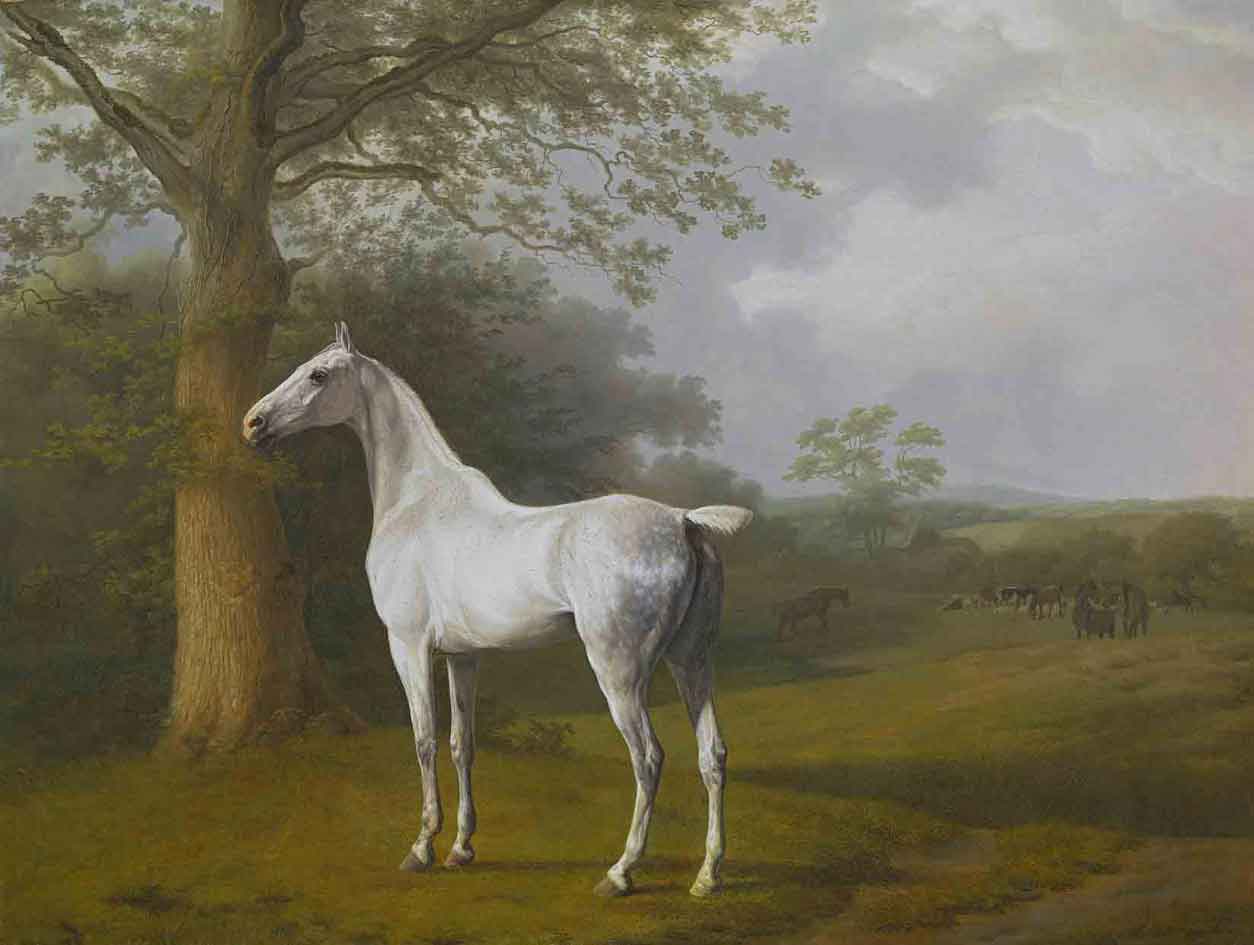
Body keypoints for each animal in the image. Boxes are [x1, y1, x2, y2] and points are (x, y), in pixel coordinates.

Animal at [243, 325, 752, 899]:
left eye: (318, 374)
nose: (253, 423)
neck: (418, 501)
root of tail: (684, 522)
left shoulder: (407, 647)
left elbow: (424, 740)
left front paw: (421, 847)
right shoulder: (462, 656)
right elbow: (462, 744)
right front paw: (461, 848)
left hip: (619, 671)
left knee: (648, 758)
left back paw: (620, 872)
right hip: (691, 661)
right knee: (713, 756)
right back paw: (708, 875)